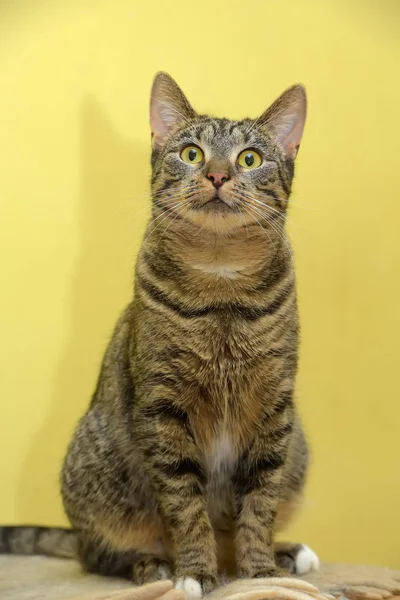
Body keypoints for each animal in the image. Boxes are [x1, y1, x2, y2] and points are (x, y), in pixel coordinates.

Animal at [0, 72, 318, 596]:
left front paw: (260, 570)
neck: (220, 283)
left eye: (249, 158)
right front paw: (195, 571)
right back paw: (153, 564)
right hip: (98, 464)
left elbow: (259, 504)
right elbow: (185, 503)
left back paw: (285, 552)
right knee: (97, 553)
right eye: (191, 152)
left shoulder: (273, 408)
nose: (217, 175)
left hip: (298, 446)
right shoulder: (162, 407)